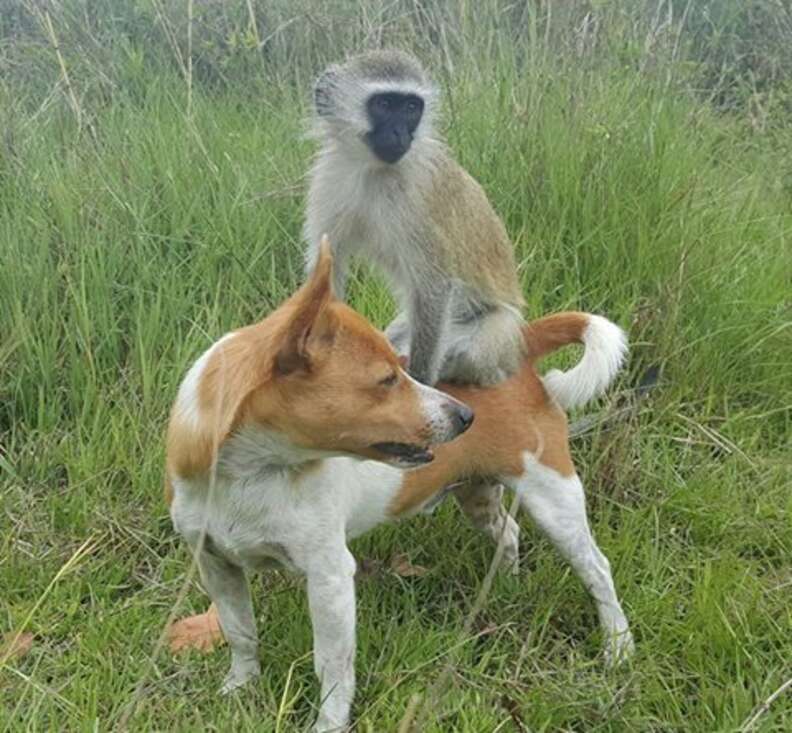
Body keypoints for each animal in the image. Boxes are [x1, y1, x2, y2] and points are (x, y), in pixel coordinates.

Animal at [164, 237, 636, 728]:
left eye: (400, 368)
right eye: (388, 379)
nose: (465, 416)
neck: (249, 477)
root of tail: (519, 352)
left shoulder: (329, 577)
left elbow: (332, 666)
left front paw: (329, 724)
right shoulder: (217, 564)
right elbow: (240, 631)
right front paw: (240, 688)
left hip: (554, 499)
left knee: (597, 568)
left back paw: (618, 647)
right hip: (478, 494)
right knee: (509, 532)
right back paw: (505, 586)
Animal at [304, 48, 524, 386]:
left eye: (411, 108)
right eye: (384, 104)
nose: (400, 134)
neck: (373, 172)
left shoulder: (417, 203)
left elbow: (434, 286)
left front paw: (418, 383)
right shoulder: (329, 182)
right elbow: (327, 271)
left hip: (501, 332)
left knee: (473, 351)